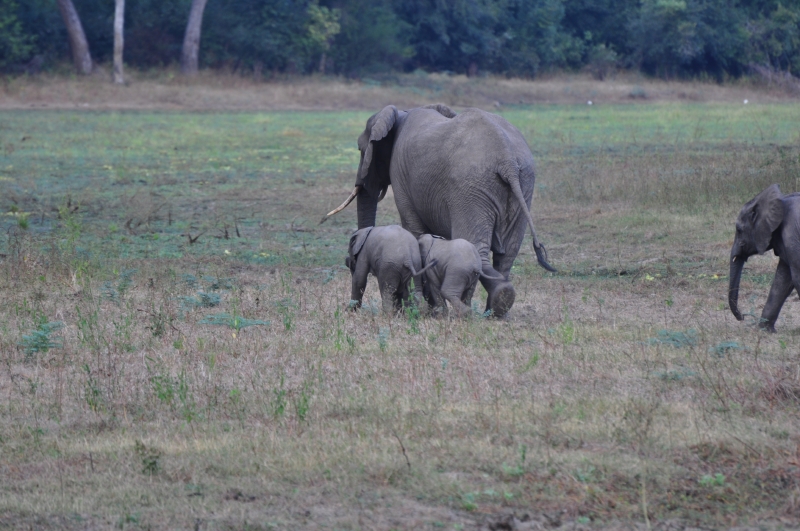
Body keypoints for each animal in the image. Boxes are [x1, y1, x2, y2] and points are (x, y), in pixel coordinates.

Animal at [324, 103, 555, 317]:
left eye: (361, 150)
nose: (349, 261)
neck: (401, 113)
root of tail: (507, 160)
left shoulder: (401, 176)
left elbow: (415, 231)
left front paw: (427, 310)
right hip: (524, 183)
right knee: (508, 253)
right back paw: (498, 308)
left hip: (471, 188)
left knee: (477, 245)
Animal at [729, 184, 800, 332]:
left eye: (739, 230)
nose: (743, 316)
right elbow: (782, 280)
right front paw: (765, 330)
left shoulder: (791, 235)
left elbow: (796, 277)